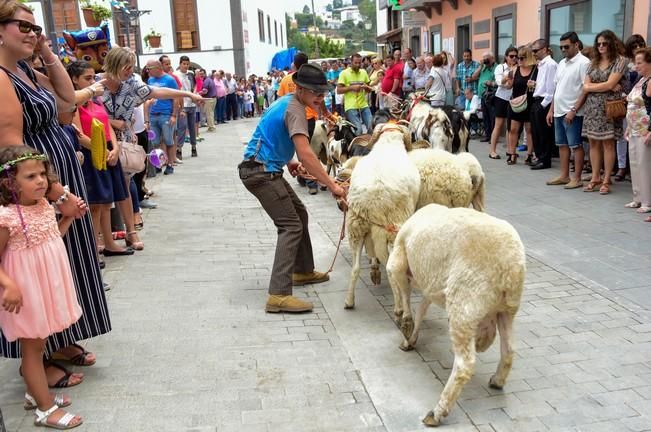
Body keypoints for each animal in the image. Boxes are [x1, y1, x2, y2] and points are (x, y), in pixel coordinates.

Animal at [344, 123, 420, 312]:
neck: (388, 143)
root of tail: (375, 202)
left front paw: (374, 269)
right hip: (394, 229)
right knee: (391, 269)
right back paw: (400, 309)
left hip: (356, 227)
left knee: (355, 268)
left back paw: (349, 301)